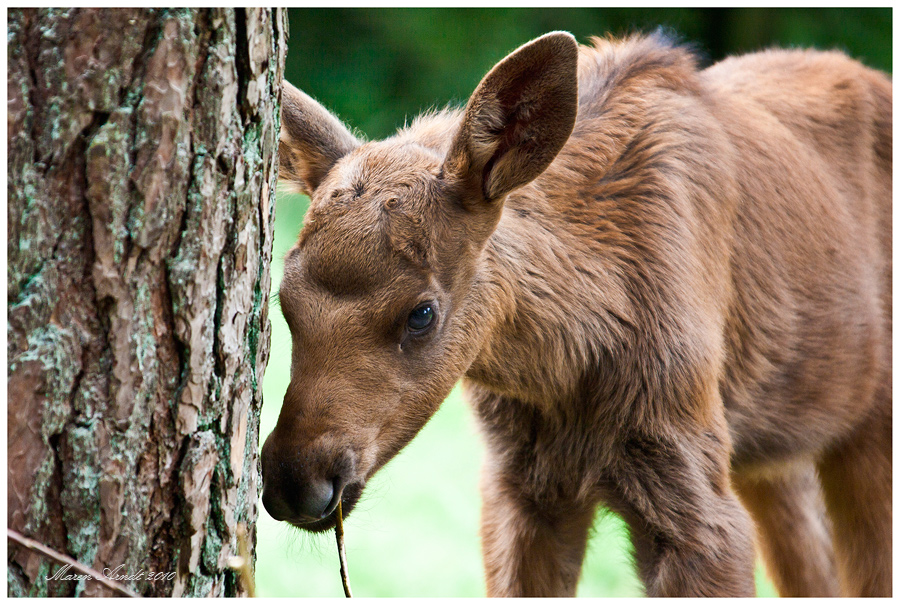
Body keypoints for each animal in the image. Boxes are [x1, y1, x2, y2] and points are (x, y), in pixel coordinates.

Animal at [262, 33, 892, 596]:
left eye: (421, 313)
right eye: (284, 300)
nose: (295, 480)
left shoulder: (693, 487)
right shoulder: (521, 488)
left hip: (867, 428)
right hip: (772, 452)